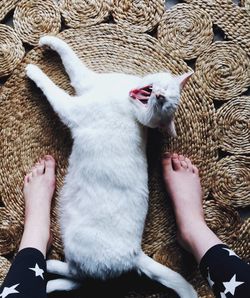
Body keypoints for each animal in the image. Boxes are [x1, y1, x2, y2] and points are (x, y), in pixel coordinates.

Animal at [26, 35, 196, 298]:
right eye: (165, 91)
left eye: (163, 107)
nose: (159, 97)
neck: (124, 98)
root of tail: (135, 254)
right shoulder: (87, 80)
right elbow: (70, 57)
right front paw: (49, 41)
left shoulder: (72, 109)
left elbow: (53, 89)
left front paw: (33, 70)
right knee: (79, 281)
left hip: (78, 243)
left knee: (79, 277)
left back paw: (47, 269)